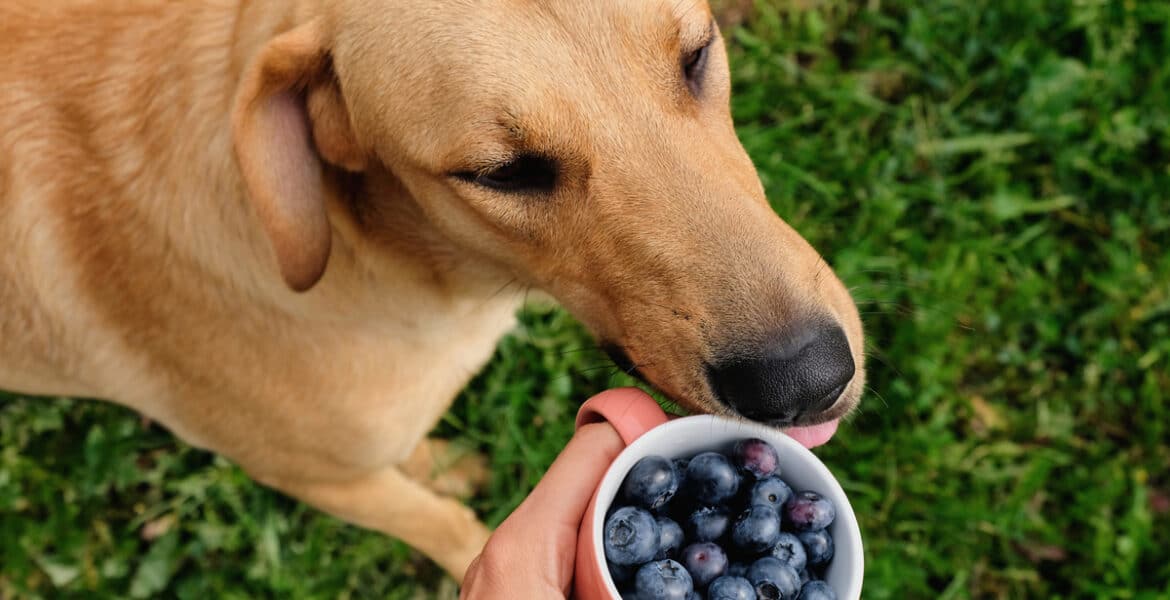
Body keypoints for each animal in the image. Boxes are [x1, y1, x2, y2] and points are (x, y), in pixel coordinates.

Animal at [0, 0, 861, 580]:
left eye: (696, 54)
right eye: (502, 173)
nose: (808, 381)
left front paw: (437, 461)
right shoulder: (317, 479)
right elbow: (445, 524)